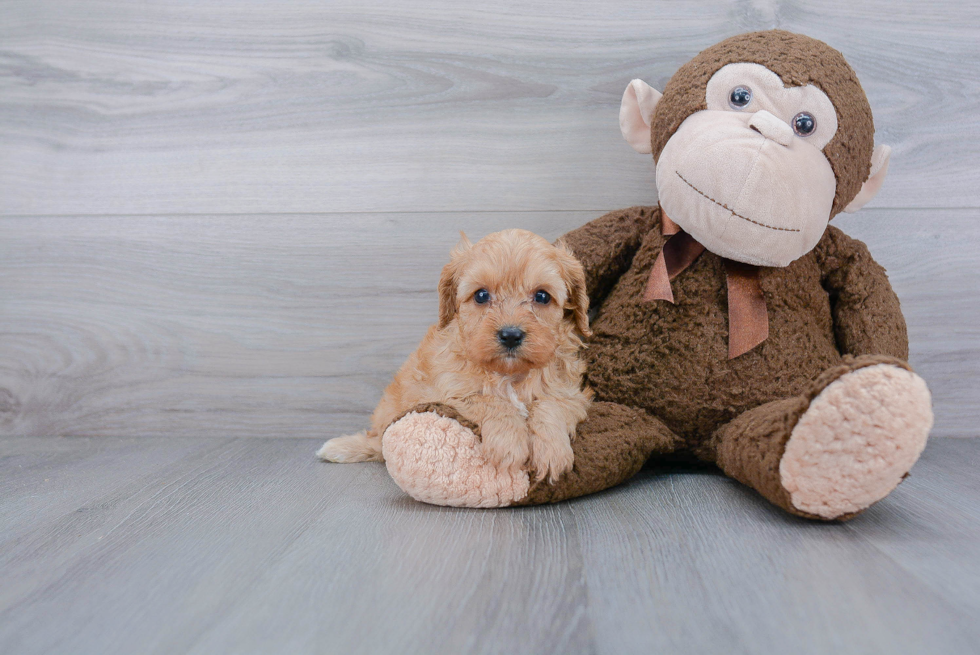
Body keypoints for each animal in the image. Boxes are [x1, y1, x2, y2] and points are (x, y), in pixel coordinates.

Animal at [318, 229, 592, 482]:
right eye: (481, 295)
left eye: (542, 296)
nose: (511, 335)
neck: (508, 374)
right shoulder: (444, 394)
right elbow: (490, 401)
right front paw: (508, 444)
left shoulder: (571, 394)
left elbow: (550, 405)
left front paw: (551, 451)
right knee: (377, 443)